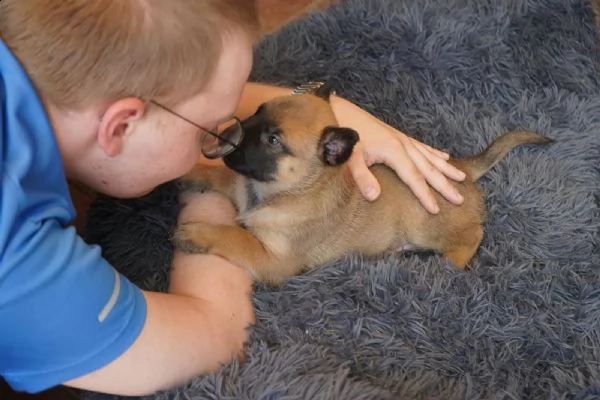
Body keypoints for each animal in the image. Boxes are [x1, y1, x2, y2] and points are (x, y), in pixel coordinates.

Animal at [173, 85, 552, 284]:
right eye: (256, 111)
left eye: (273, 140)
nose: (224, 133)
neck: (277, 193)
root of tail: (460, 167)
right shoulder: (237, 187)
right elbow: (218, 177)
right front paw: (189, 172)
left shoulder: (273, 261)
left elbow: (233, 236)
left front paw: (198, 233)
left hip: (426, 226)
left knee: (472, 235)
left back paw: (449, 266)